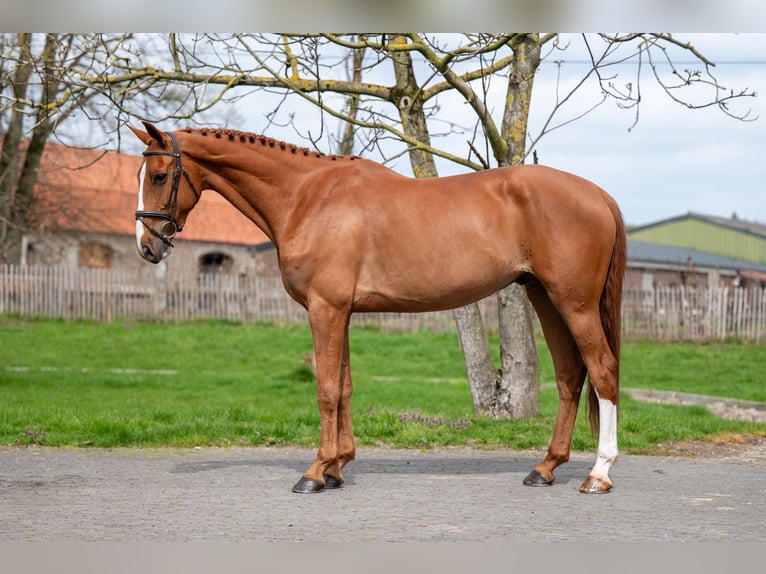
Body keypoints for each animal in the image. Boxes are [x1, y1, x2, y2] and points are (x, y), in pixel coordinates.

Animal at [130, 121, 626, 495]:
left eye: (159, 176)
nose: (147, 247)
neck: (308, 197)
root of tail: (599, 194)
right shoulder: (342, 311)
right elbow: (345, 387)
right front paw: (337, 468)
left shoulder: (324, 309)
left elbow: (326, 388)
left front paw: (315, 473)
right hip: (545, 297)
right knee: (570, 376)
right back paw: (546, 468)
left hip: (574, 303)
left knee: (602, 370)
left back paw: (598, 474)